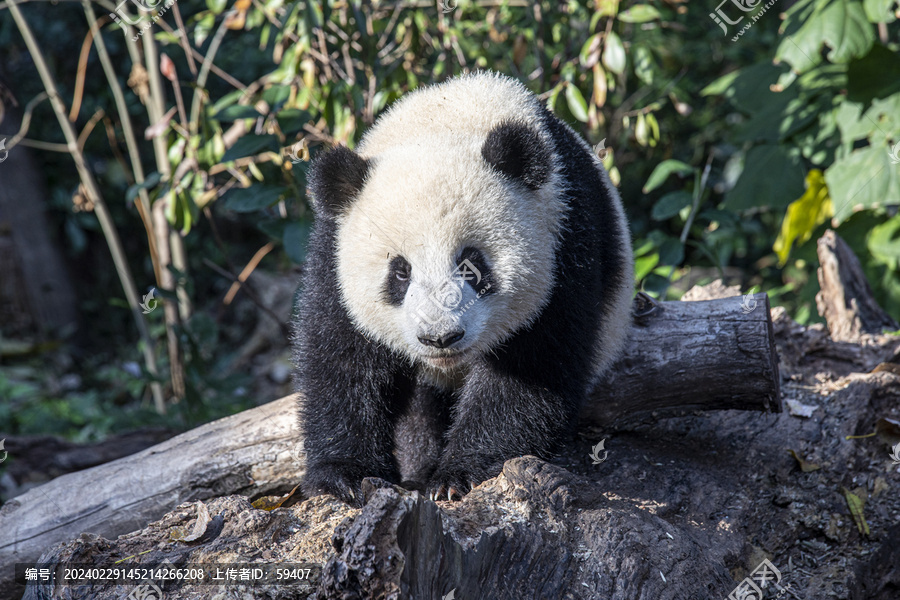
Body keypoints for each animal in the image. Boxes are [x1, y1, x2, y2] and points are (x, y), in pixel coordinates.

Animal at [296, 70, 632, 504]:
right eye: (400, 272)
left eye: (471, 264)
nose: (440, 338)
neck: (448, 117)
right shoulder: (334, 253)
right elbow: (341, 358)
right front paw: (345, 476)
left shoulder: (565, 241)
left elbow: (531, 371)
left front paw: (461, 473)